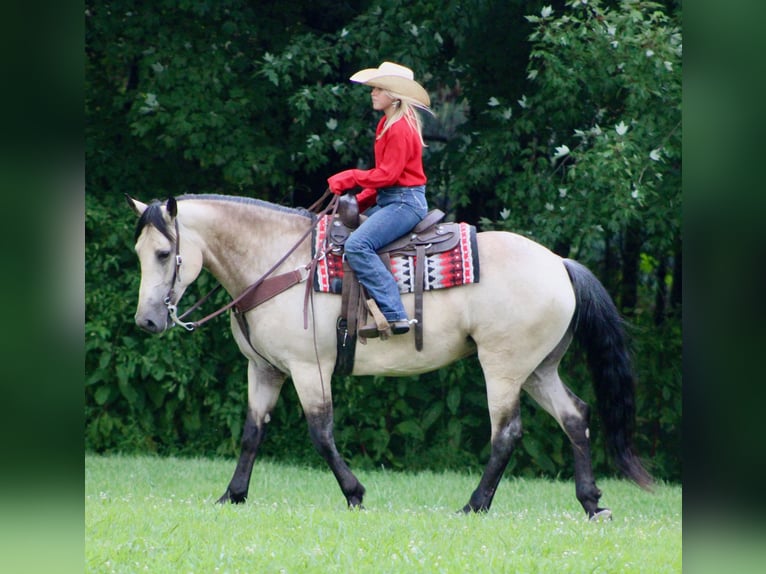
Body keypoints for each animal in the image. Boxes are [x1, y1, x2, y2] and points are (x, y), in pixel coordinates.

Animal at [126, 195, 656, 520]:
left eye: (163, 253)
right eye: (138, 252)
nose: (148, 321)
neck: (281, 263)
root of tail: (560, 264)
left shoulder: (308, 369)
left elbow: (321, 434)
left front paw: (355, 494)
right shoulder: (265, 370)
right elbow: (253, 433)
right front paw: (232, 495)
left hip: (502, 368)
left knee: (507, 432)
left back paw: (474, 505)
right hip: (538, 370)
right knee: (575, 417)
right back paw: (592, 503)